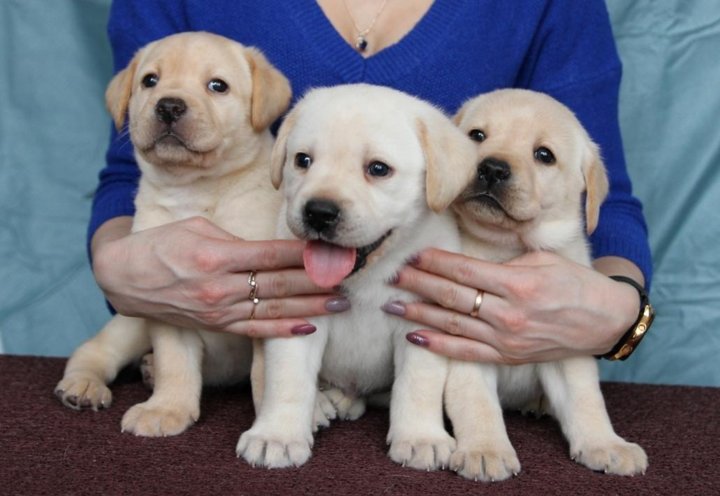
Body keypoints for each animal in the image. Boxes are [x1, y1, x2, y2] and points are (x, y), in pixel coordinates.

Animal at [53, 31, 292, 436]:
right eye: (150, 80)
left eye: (217, 86)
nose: (169, 106)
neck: (198, 189)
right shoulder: (170, 299)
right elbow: (175, 362)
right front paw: (167, 409)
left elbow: (264, 372)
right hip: (131, 321)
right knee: (96, 350)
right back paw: (84, 384)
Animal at [236, 84, 478, 468]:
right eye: (302, 160)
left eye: (378, 169)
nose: (319, 212)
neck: (368, 275)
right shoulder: (299, 317)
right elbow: (288, 380)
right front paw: (277, 434)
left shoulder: (421, 323)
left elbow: (418, 385)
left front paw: (420, 437)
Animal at [448, 89, 648, 480]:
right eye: (477, 135)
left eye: (544, 155)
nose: (492, 168)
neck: (507, 247)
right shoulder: (463, 343)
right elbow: (475, 400)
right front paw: (485, 449)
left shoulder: (566, 343)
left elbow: (587, 400)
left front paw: (606, 444)